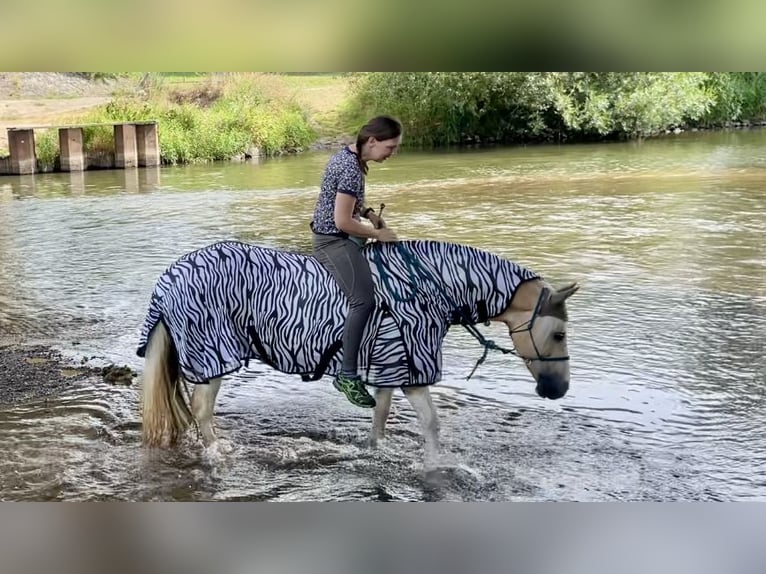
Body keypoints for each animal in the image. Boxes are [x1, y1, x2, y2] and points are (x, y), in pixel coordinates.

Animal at [137, 239, 579, 469]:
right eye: (559, 334)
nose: (558, 390)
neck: (426, 287)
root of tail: (169, 278)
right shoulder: (412, 371)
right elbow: (432, 423)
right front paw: (437, 466)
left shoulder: (389, 367)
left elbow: (380, 418)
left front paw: (377, 451)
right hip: (212, 357)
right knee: (202, 410)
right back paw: (219, 453)